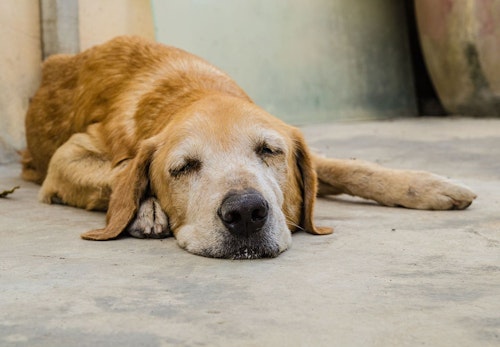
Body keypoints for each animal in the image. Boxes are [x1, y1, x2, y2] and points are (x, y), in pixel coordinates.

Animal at [22, 36, 476, 258]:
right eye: (183, 167)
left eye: (269, 151)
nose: (245, 213)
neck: (193, 91)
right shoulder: (66, 158)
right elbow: (118, 172)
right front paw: (144, 207)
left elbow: (351, 167)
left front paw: (429, 185)